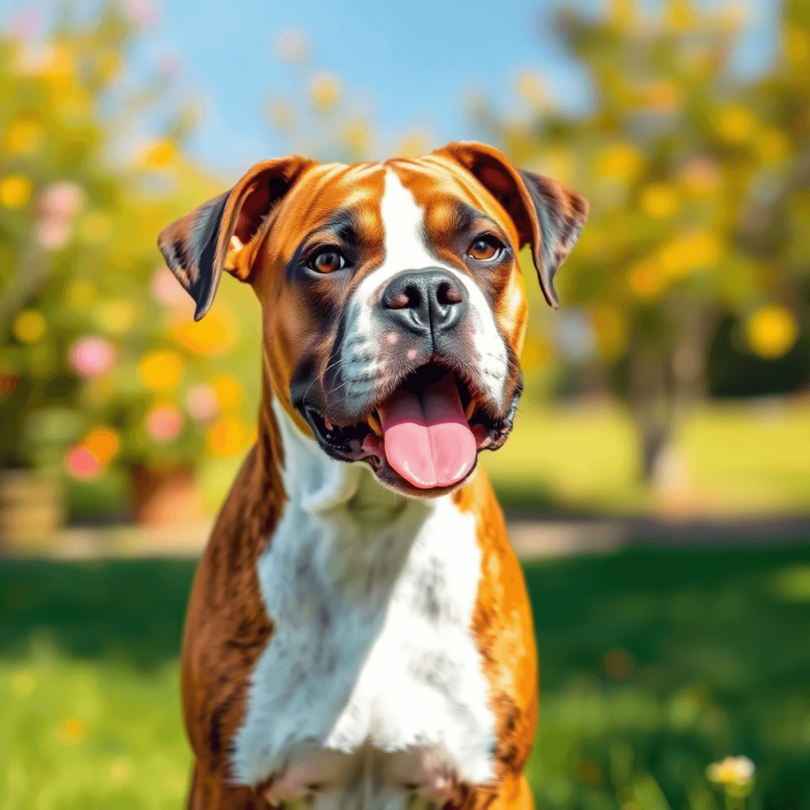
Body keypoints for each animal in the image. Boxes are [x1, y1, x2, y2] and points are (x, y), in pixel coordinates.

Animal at [158, 142, 588, 804]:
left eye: (484, 247)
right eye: (327, 260)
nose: (427, 291)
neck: (373, 527)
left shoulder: (494, 779)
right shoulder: (226, 780)